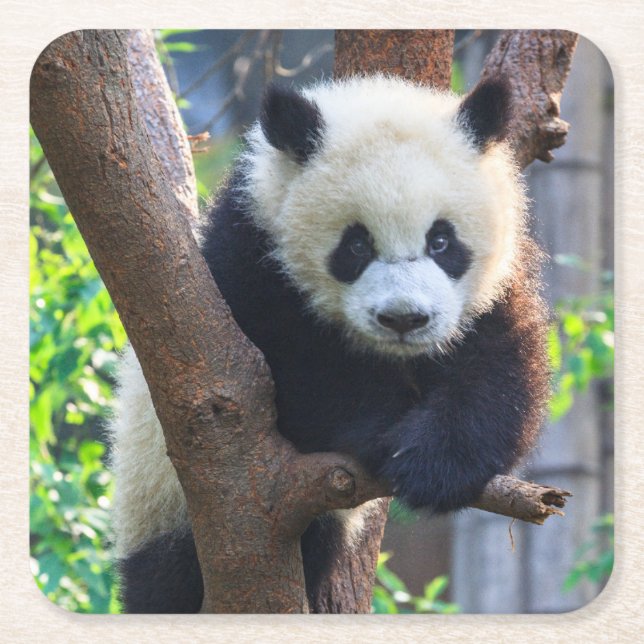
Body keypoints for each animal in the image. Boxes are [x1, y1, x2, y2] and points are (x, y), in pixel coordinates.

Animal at [109, 75, 550, 613]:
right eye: (355, 245)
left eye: (442, 241)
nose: (404, 318)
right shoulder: (247, 261)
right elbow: (294, 374)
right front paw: (385, 433)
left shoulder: (493, 286)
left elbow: (498, 365)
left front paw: (434, 464)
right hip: (160, 501)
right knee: (171, 577)